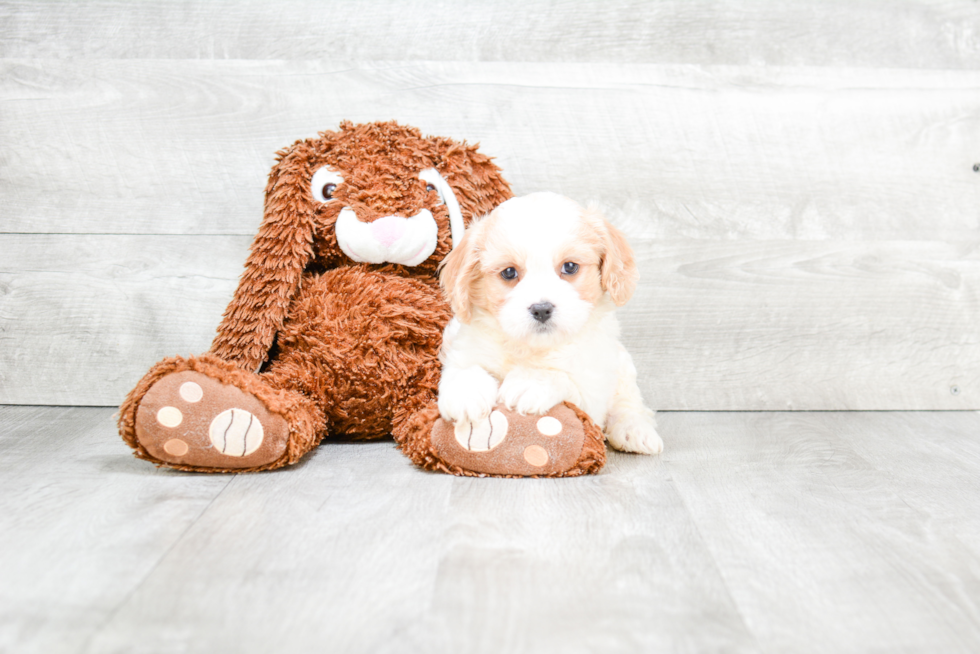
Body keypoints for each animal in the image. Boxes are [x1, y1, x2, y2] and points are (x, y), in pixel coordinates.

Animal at [438, 190, 664, 456]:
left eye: (570, 267)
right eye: (509, 273)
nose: (541, 309)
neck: (530, 347)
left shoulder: (592, 388)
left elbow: (565, 379)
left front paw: (530, 382)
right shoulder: (463, 349)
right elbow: (463, 369)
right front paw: (465, 392)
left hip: (623, 365)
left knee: (630, 402)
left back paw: (635, 430)